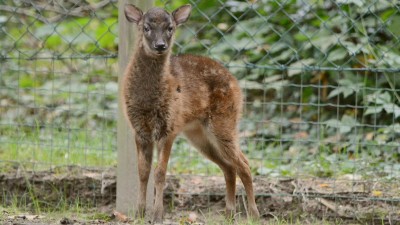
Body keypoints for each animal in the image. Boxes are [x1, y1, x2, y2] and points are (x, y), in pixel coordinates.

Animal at [122, 3, 260, 223]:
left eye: (170, 27)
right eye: (146, 27)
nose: (160, 45)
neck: (148, 99)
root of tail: (237, 84)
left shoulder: (169, 128)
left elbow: (160, 172)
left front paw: (157, 215)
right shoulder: (139, 129)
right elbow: (143, 172)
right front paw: (139, 214)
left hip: (225, 122)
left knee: (244, 164)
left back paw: (254, 215)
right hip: (199, 135)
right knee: (229, 167)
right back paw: (229, 214)